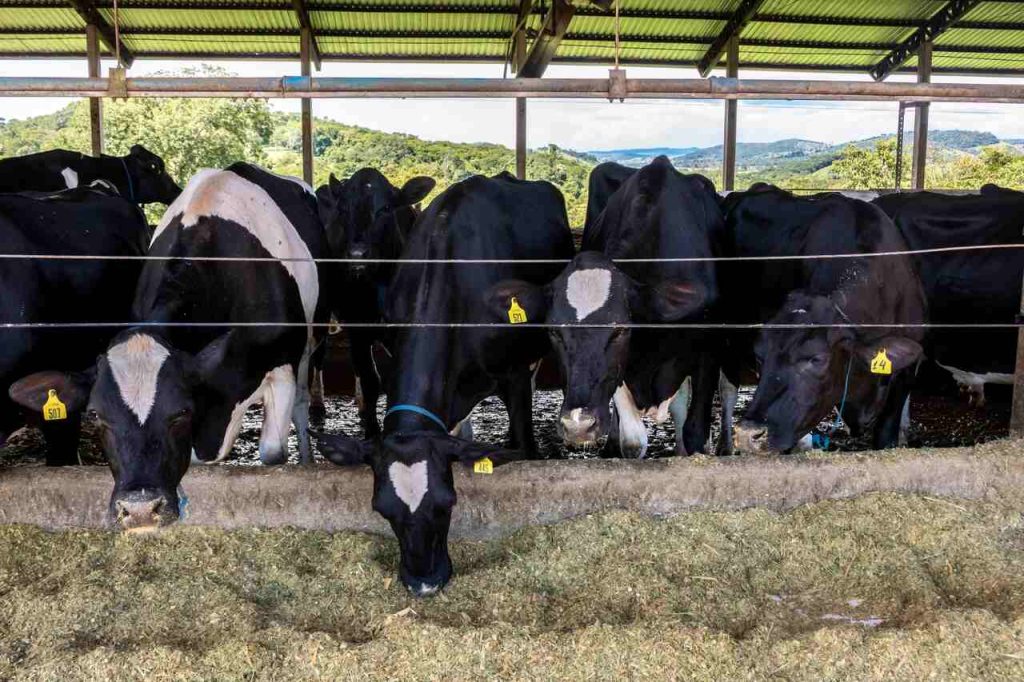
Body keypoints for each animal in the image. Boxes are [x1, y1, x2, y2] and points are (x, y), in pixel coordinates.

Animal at [314, 169, 435, 432]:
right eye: (343, 209)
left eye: (386, 209)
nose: (357, 254)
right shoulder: (358, 327)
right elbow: (371, 379)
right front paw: (372, 432)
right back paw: (317, 405)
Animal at [489, 157, 722, 458]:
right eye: (554, 331)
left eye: (620, 330)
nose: (578, 425)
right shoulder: (621, 374)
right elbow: (632, 442)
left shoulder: (710, 350)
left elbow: (695, 433)